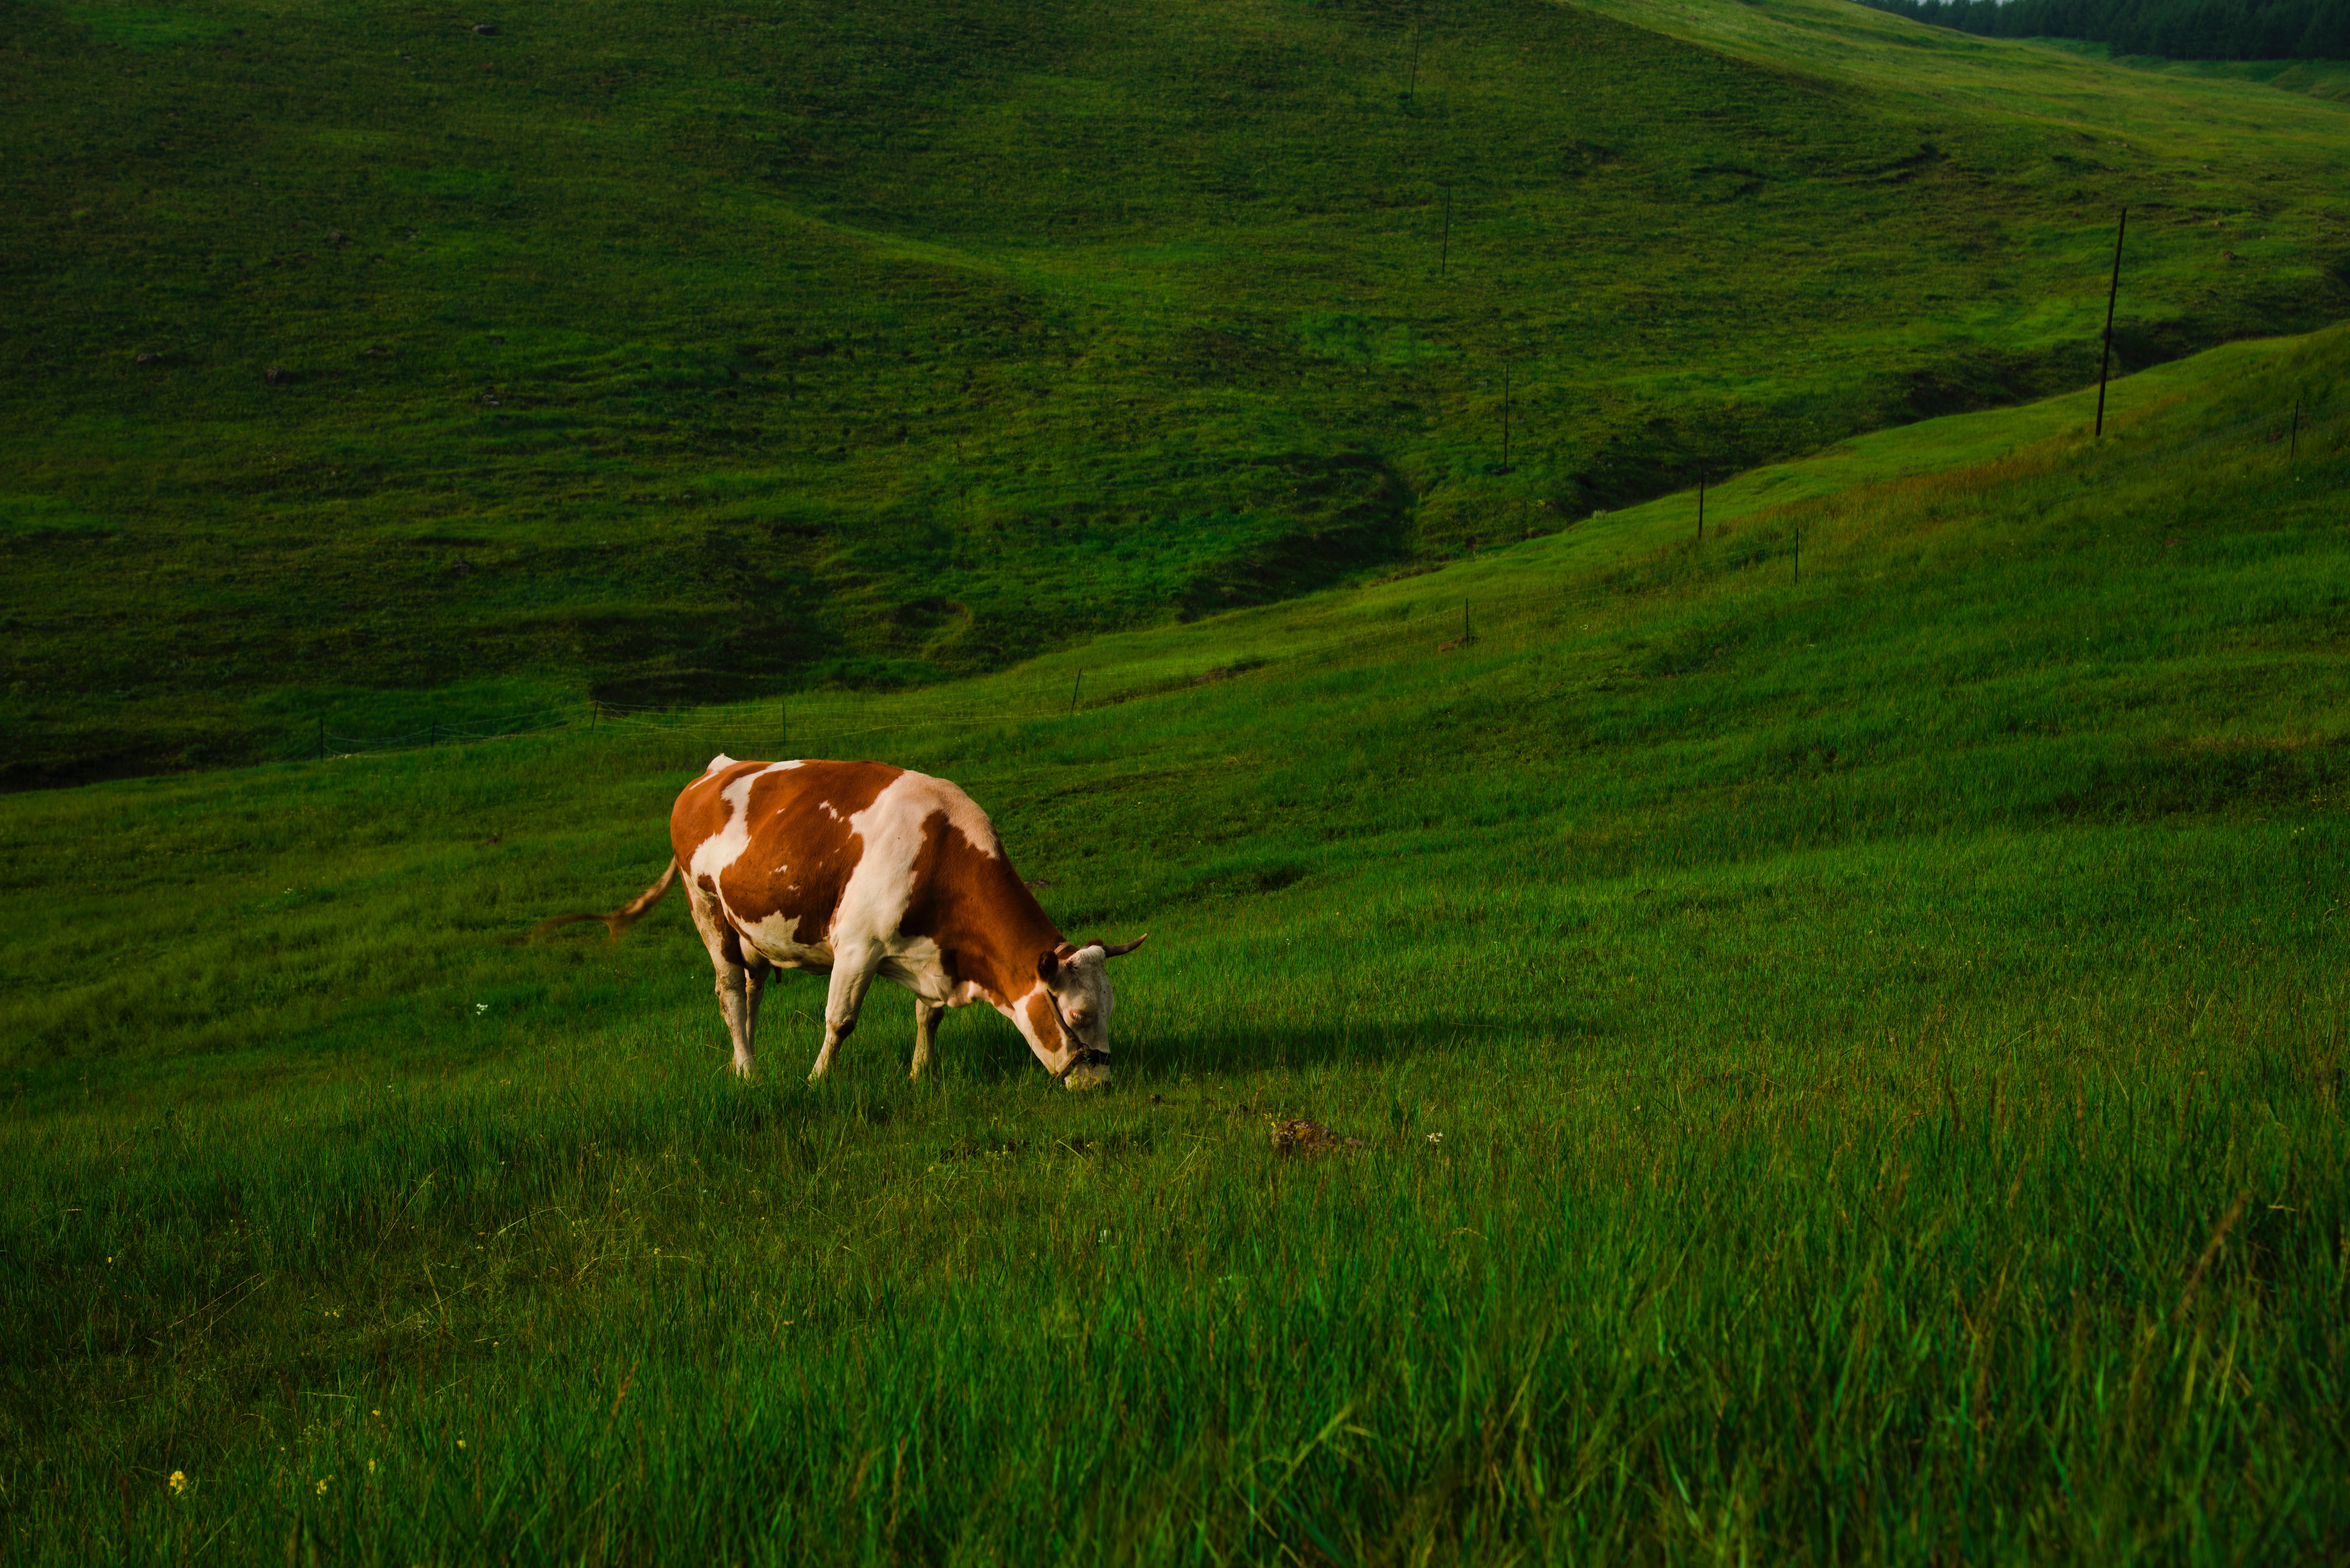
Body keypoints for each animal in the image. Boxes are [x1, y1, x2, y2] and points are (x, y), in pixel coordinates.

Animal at [543, 762, 1147, 1091]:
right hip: (706, 907)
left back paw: (747, 1061)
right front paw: (818, 1080)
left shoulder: (930, 953)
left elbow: (928, 1017)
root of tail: (713, 772)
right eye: (1078, 1015)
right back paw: (747, 1070)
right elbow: (840, 1020)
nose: (1101, 1083)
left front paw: (920, 1074)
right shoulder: (859, 946)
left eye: (1112, 1009)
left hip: (750, 926)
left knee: (752, 991)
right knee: (730, 991)